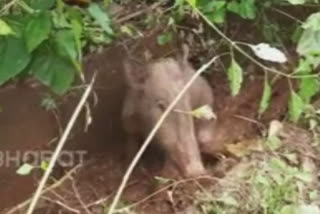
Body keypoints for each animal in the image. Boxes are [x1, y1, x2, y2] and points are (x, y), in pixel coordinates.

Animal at [122, 45, 215, 177]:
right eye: (160, 105)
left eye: (187, 100)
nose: (196, 170)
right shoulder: (128, 121)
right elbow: (131, 142)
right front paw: (130, 165)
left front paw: (167, 174)